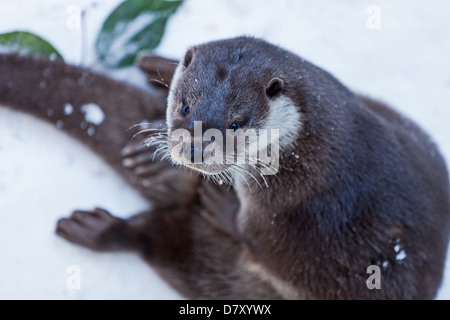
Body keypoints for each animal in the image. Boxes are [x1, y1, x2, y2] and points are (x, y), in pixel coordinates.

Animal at [0, 36, 450, 298]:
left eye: (236, 124)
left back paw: (98, 230)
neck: (312, 145)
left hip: (221, 275)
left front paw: (221, 204)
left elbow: (260, 240)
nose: (195, 151)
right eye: (185, 107)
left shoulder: (294, 211)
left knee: (161, 242)